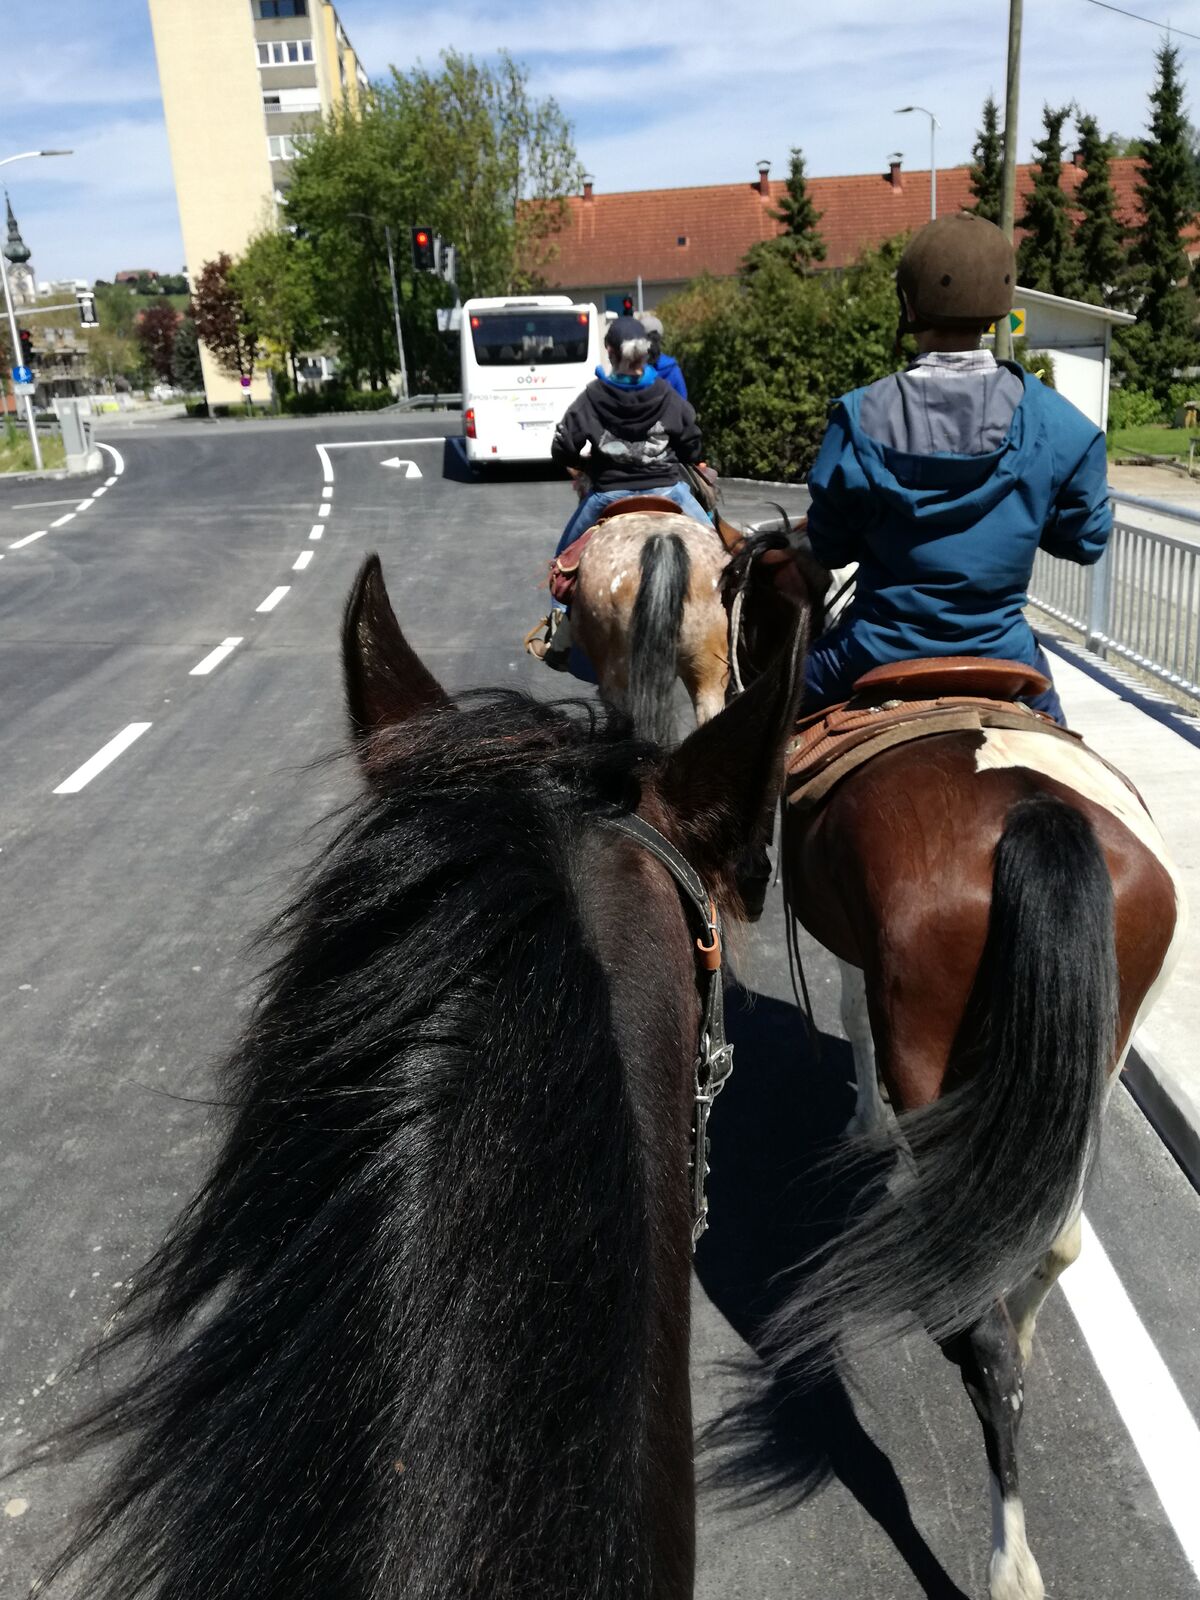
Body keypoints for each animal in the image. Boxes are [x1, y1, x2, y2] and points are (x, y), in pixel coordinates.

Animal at [723, 525, 1184, 1600]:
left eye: (749, 604)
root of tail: (1035, 813)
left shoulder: (864, 970)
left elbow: (852, 1021)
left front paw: (866, 1133)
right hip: (1095, 1062)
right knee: (1052, 1241)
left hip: (933, 1040)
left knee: (982, 1337)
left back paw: (1010, 1561)